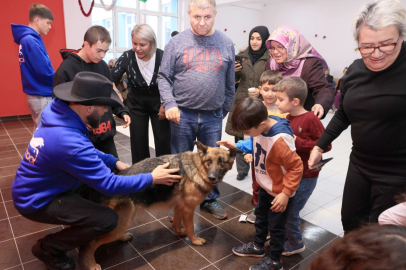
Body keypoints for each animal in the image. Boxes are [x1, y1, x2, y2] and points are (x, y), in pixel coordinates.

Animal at [78, 142, 241, 268]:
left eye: (221, 162)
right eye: (209, 161)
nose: (212, 178)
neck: (198, 168)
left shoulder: (179, 208)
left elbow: (177, 222)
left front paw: (179, 232)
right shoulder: (188, 210)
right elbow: (190, 227)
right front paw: (194, 240)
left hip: (123, 220)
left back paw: (123, 237)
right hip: (121, 221)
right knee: (88, 245)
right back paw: (90, 264)